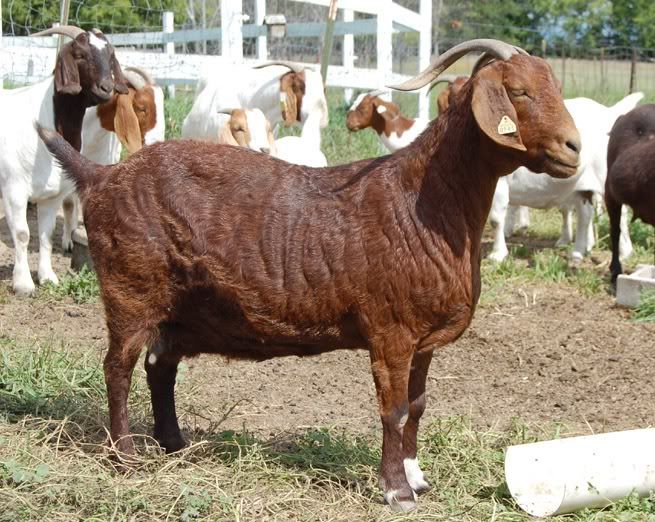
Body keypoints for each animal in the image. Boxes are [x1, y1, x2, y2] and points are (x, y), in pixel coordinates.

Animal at [0, 25, 127, 295]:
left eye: (110, 54)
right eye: (79, 55)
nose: (106, 88)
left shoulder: (52, 195)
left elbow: (46, 235)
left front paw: (47, 276)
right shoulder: (14, 188)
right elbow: (23, 234)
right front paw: (23, 283)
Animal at [487, 93, 642, 262]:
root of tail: (608, 112)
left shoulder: (500, 183)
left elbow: (495, 219)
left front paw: (497, 254)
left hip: (604, 180)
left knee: (620, 214)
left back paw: (624, 253)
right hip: (582, 187)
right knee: (585, 214)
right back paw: (579, 251)